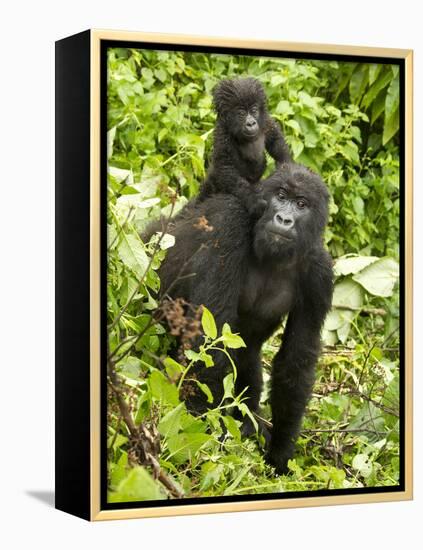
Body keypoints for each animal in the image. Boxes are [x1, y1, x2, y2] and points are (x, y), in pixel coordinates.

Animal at [198, 77, 292, 218]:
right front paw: (253, 200)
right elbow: (227, 168)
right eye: (241, 113)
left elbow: (276, 142)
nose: (251, 123)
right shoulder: (223, 134)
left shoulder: (266, 121)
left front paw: (288, 167)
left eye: (253, 110)